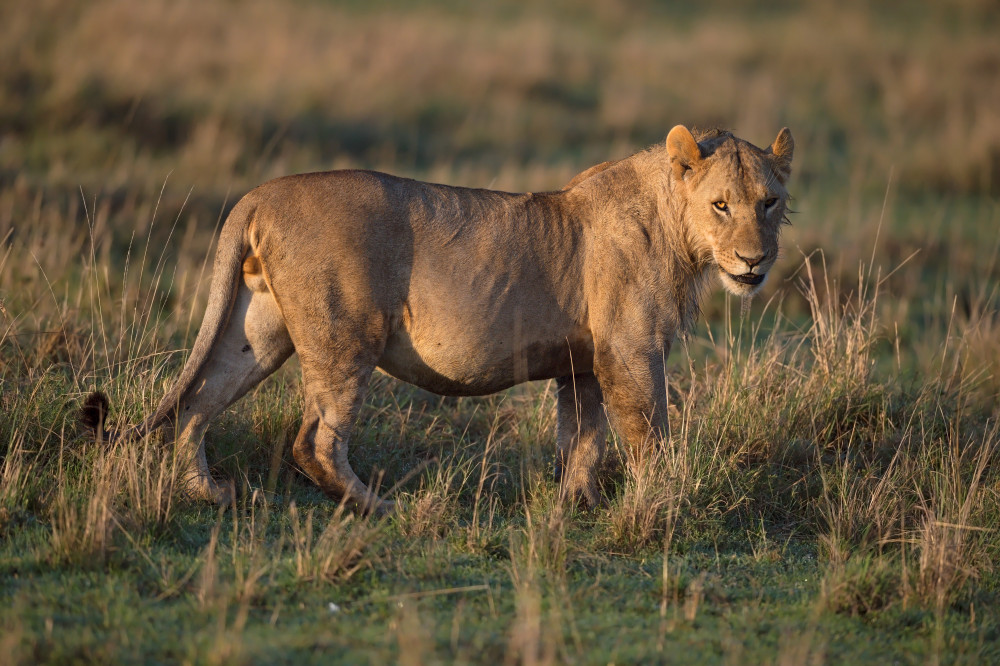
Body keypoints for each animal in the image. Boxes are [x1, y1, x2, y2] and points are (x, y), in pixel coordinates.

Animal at [80, 124, 796, 510]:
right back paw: (376, 507)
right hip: (346, 336)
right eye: (722, 205)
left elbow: (582, 440)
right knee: (314, 440)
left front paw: (576, 508)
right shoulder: (630, 352)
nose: (755, 261)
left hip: (255, 333)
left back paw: (210, 495)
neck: (678, 231)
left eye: (769, 202)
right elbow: (650, 435)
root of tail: (259, 193)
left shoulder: (583, 364)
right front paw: (661, 504)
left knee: (195, 405)